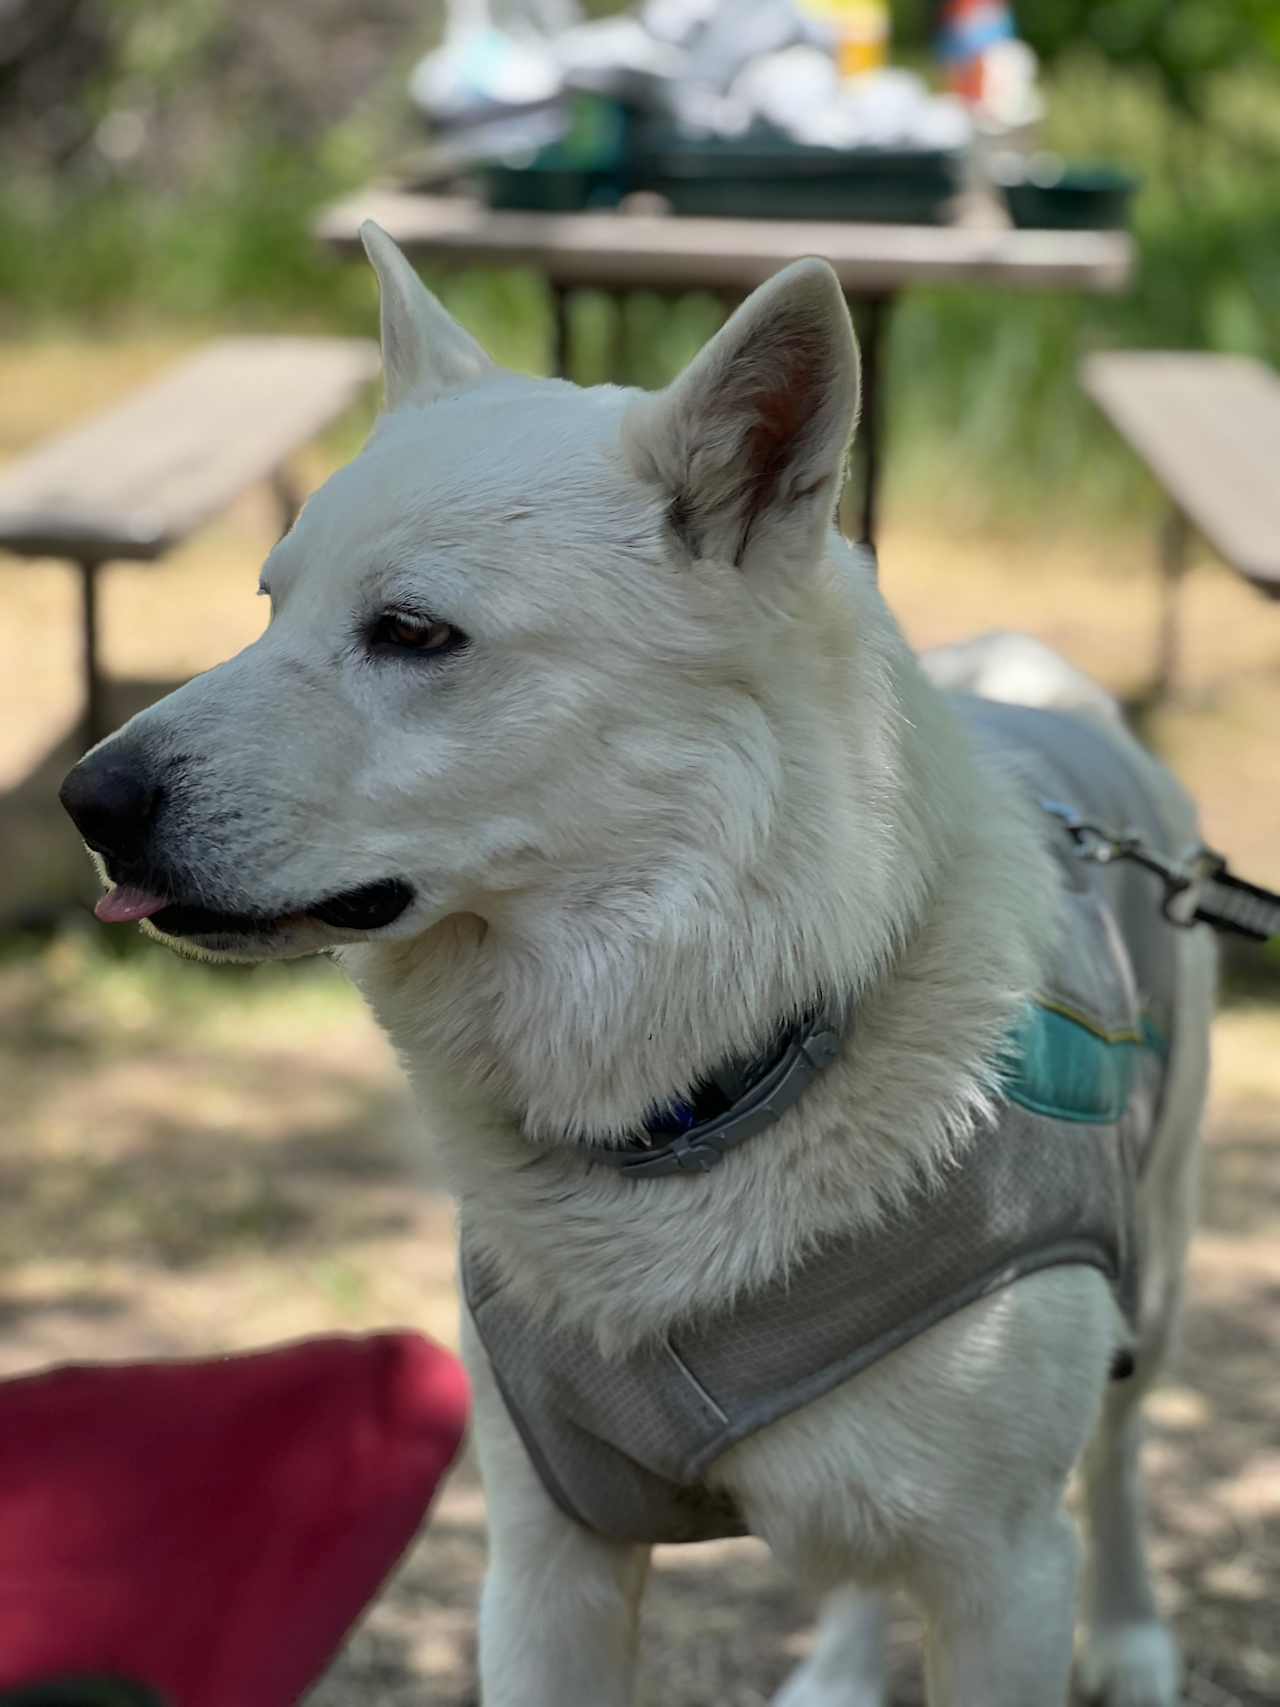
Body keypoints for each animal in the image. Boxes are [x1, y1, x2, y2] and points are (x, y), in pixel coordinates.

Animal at [60, 230, 1215, 1707]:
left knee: (1120, 1458)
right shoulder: (546, 1557)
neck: (694, 1104)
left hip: (1156, 1281)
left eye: (414, 633)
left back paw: (1133, 1636)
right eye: (269, 608)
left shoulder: (1003, 1575)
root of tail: (1036, 677)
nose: (86, 800)